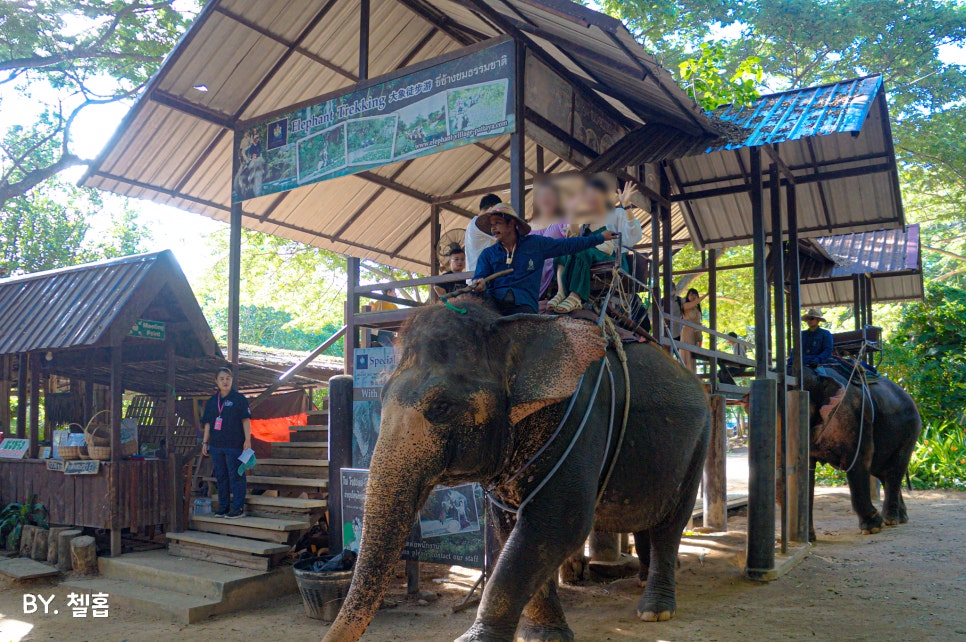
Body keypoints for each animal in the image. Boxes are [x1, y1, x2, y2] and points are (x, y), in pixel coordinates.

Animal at [326, 300, 712, 640]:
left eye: (441, 406)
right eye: (380, 398)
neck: (509, 322)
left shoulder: (581, 421)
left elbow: (559, 523)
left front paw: (478, 639)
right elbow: (511, 526)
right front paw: (544, 635)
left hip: (700, 441)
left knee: (670, 525)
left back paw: (655, 610)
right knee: (648, 519)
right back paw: (642, 582)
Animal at [800, 362, 924, 536]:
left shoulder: (856, 417)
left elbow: (860, 457)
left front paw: (872, 529)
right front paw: (810, 538)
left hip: (911, 429)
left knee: (895, 469)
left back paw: (891, 520)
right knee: (882, 471)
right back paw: (900, 518)